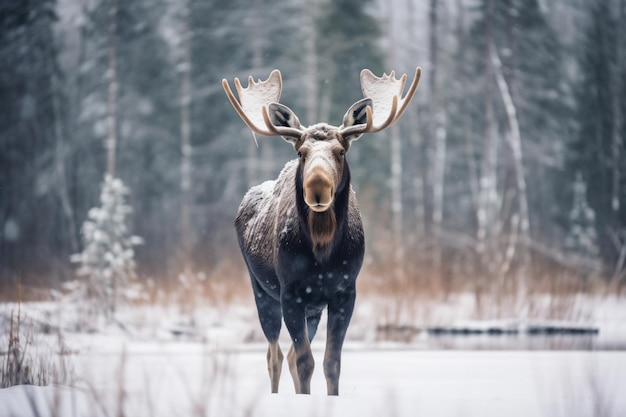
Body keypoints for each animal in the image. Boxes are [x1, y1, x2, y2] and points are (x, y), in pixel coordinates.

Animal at [221, 66, 420, 394]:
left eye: (340, 151)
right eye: (301, 152)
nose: (316, 187)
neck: (323, 250)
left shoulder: (344, 293)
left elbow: (330, 362)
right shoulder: (291, 293)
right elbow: (305, 362)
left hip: (313, 309)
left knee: (287, 355)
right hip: (261, 290)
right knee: (275, 356)